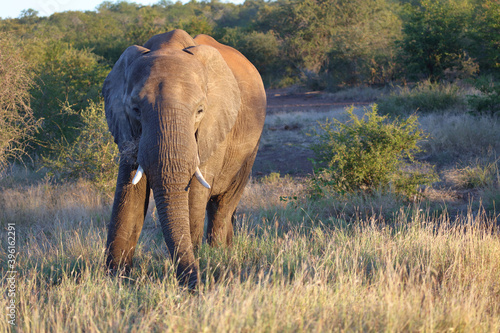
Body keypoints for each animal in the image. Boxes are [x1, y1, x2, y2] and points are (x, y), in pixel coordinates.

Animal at [101, 29, 266, 286]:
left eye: (200, 110)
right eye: (136, 110)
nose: (196, 287)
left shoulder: (212, 127)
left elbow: (194, 194)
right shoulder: (127, 129)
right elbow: (129, 195)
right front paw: (116, 280)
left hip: (251, 145)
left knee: (223, 205)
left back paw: (219, 254)